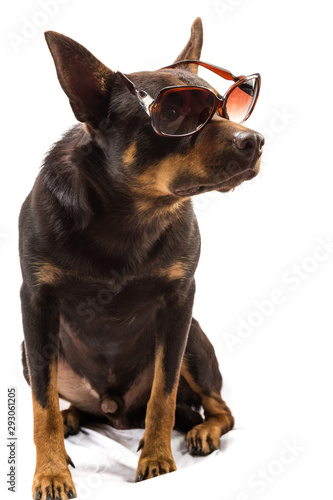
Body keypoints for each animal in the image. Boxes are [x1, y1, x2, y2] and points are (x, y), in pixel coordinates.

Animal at [19, 17, 264, 500]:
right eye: (174, 113)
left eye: (228, 110)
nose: (256, 139)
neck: (131, 214)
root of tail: (116, 412)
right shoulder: (36, 304)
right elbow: (42, 406)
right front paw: (52, 472)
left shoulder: (179, 302)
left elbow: (162, 396)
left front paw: (157, 459)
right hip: (27, 349)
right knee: (68, 401)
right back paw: (75, 417)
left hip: (194, 340)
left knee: (218, 408)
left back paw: (201, 431)